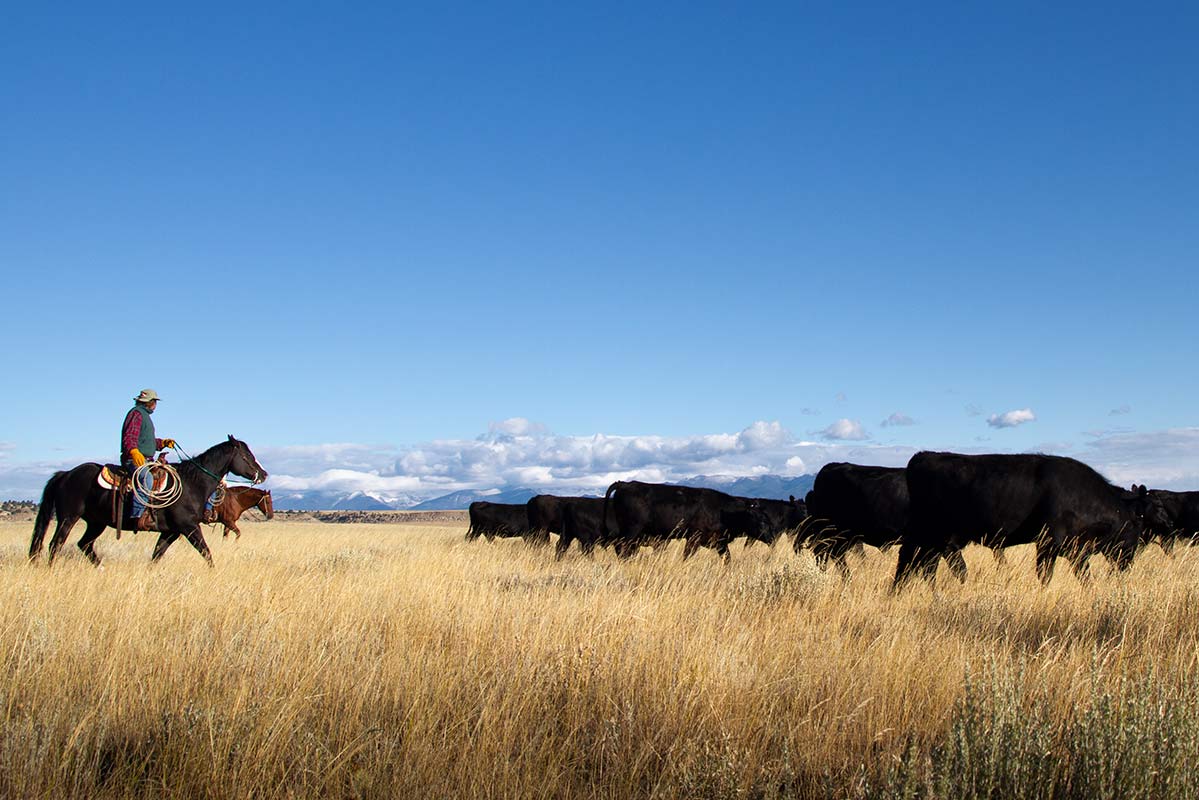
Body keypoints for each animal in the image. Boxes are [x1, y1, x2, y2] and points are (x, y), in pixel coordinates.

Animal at [30, 438, 269, 563]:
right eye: (247, 456)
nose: (264, 474)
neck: (194, 483)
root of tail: (66, 474)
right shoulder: (189, 527)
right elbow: (206, 553)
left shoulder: (171, 531)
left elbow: (156, 556)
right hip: (68, 518)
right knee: (55, 544)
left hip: (96, 522)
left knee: (84, 544)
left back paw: (100, 567)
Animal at [604, 482, 772, 563]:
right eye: (761, 521)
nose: (771, 538)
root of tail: (625, 484)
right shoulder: (694, 538)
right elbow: (687, 556)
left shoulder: (719, 542)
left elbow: (727, 559)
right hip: (632, 530)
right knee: (622, 548)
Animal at [896, 450, 1165, 587]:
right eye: (1137, 528)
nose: (1128, 564)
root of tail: (923, 455)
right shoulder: (1049, 543)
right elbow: (1045, 575)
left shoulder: (1076, 550)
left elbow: (1084, 576)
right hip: (928, 532)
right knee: (912, 560)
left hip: (939, 538)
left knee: (930, 563)